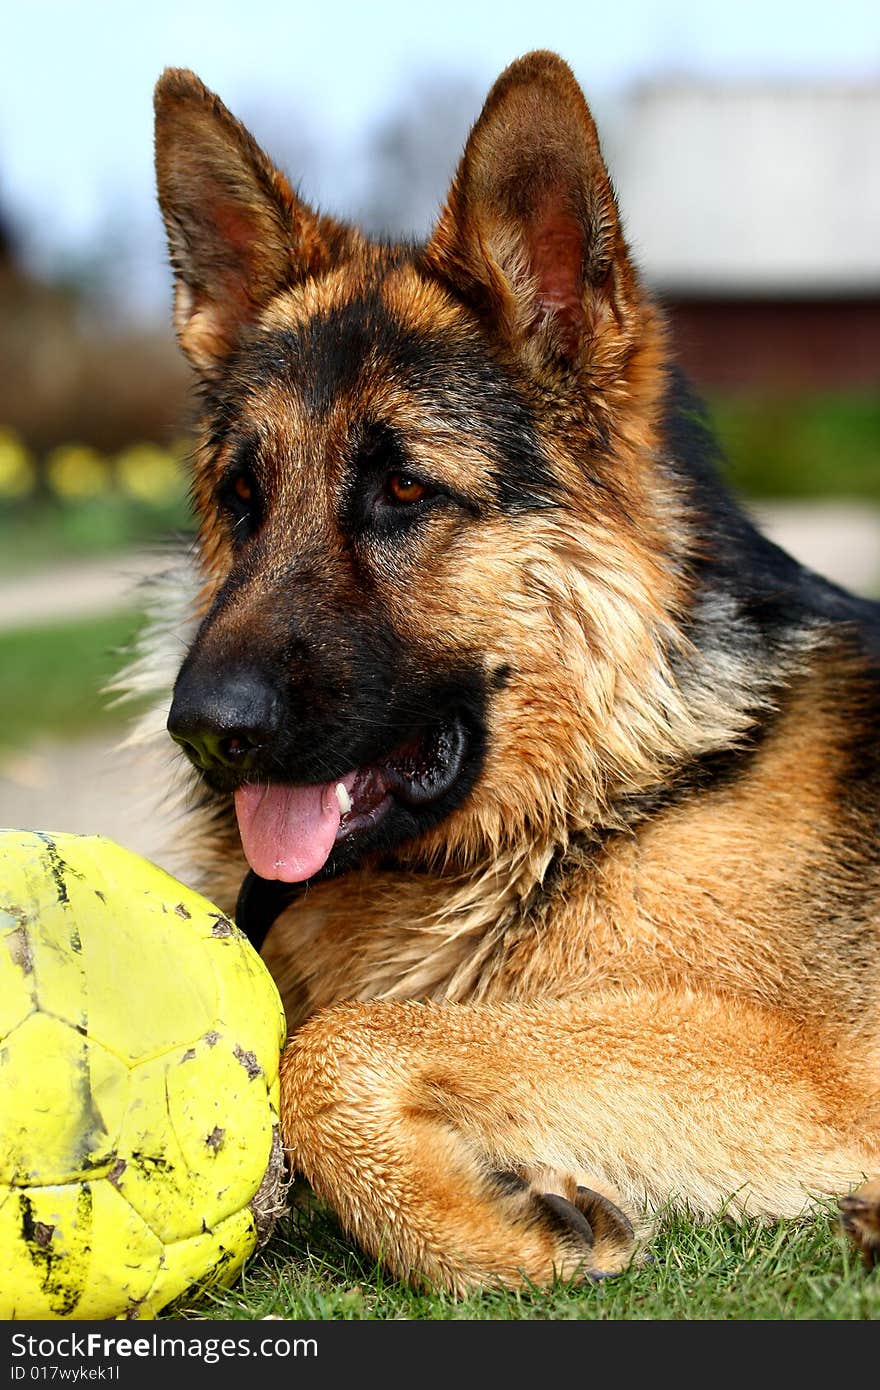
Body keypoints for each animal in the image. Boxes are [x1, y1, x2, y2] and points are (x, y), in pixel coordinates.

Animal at [145, 51, 878, 1289]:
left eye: (403, 489)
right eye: (241, 498)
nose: (204, 728)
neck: (601, 787)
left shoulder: (806, 1060)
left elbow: (330, 1041)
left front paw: (471, 1228)